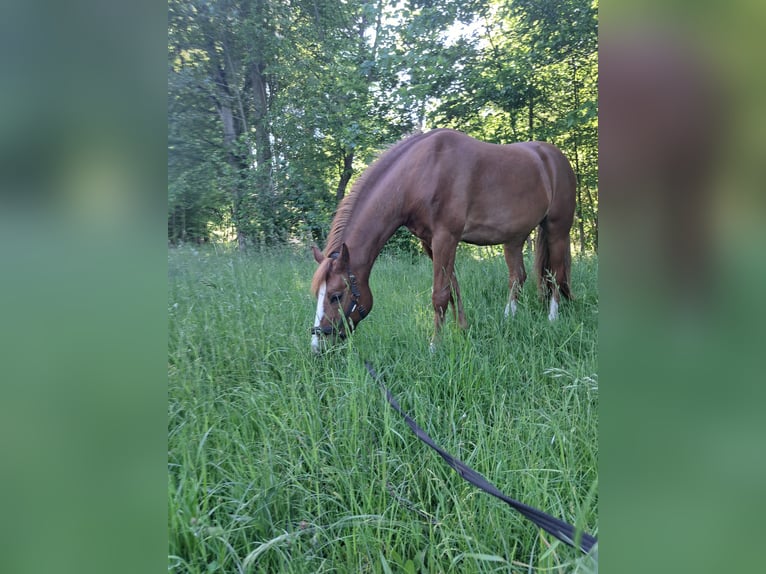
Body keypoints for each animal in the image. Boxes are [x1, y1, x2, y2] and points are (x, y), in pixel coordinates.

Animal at [312, 130, 576, 354]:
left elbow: (439, 295)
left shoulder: (446, 238)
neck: (420, 174)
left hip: (557, 230)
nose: (318, 346)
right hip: (514, 238)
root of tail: (553, 157)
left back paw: (553, 318)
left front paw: (434, 347)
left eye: (336, 295)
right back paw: (508, 319)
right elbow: (452, 289)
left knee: (555, 273)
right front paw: (461, 330)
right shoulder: (431, 242)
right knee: (517, 277)